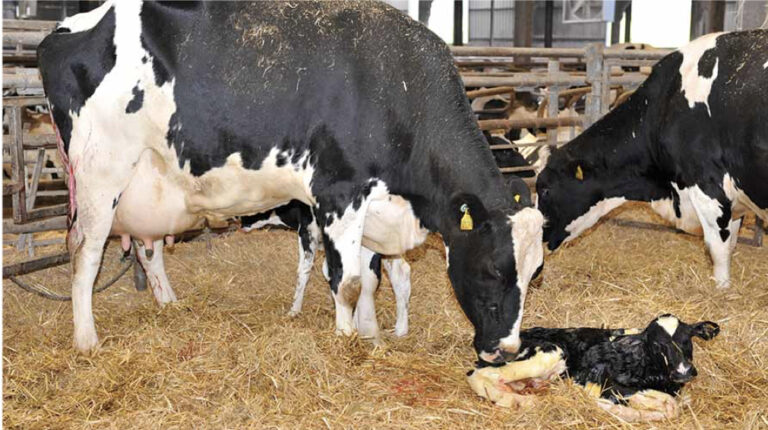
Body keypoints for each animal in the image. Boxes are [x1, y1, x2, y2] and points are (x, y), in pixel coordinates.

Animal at [241, 201, 412, 339]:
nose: (240, 224)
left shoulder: (307, 230)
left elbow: (303, 271)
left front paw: (294, 310)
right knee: (400, 274)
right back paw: (400, 330)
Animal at [467, 314, 720, 421]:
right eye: (657, 345)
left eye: (687, 340)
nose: (683, 371)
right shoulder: (610, 386)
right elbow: (670, 407)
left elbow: (676, 404)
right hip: (550, 353)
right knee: (479, 375)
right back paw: (522, 401)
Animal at [536, 31, 768, 288]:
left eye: (545, 189)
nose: (540, 238)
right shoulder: (735, 202)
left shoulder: (708, 187)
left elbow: (718, 252)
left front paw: (720, 289)